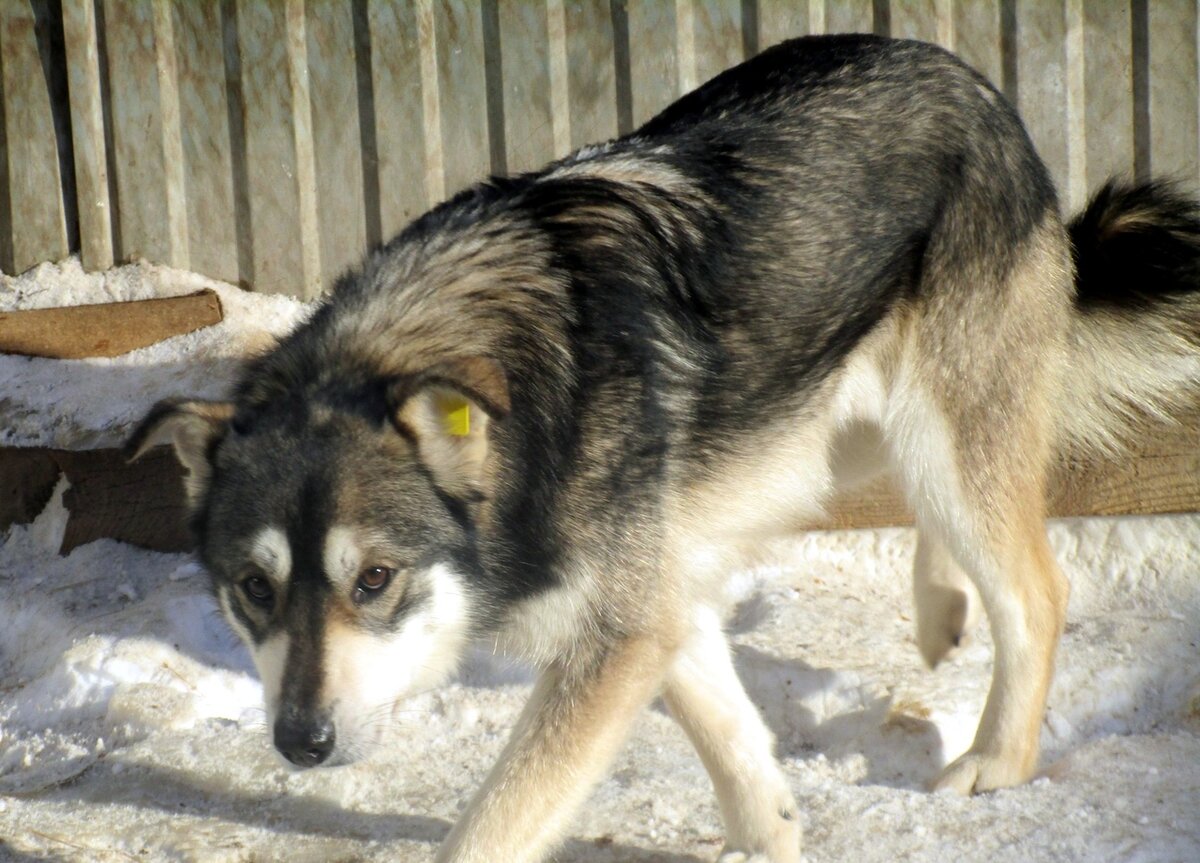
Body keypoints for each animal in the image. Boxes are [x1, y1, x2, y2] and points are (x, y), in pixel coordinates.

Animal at [124, 33, 1200, 863]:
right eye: (253, 587)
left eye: (375, 579)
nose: (299, 741)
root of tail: (970, 78)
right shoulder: (652, 602)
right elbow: (735, 746)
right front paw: (773, 834)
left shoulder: (619, 630)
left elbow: (495, 822)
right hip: (830, 424)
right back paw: (941, 613)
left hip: (931, 433)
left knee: (1034, 584)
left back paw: (995, 760)